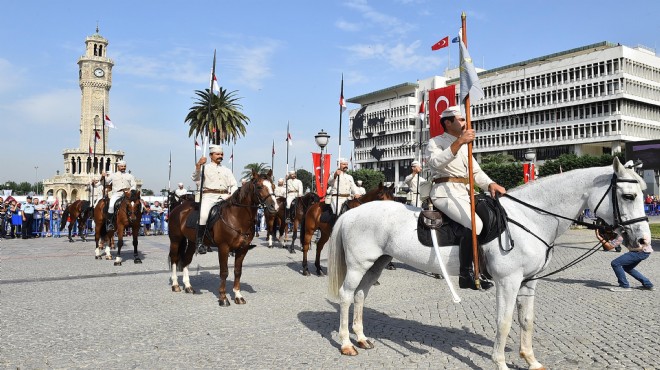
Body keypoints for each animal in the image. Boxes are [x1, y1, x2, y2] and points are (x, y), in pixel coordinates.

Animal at [168, 171, 278, 306]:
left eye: (273, 186)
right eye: (259, 187)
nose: (274, 206)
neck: (236, 217)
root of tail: (178, 208)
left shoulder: (242, 249)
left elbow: (237, 271)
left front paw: (238, 296)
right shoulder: (223, 248)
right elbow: (224, 272)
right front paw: (223, 298)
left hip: (193, 243)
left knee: (186, 260)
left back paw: (188, 286)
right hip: (175, 240)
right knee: (174, 259)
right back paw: (175, 285)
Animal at [324, 158, 648, 368]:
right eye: (628, 195)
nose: (644, 241)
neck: (530, 218)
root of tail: (352, 212)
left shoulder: (529, 281)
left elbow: (527, 321)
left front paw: (531, 361)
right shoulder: (508, 281)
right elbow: (504, 322)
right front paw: (500, 363)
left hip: (377, 263)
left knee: (361, 295)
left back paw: (362, 338)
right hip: (359, 265)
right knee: (346, 295)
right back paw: (346, 343)